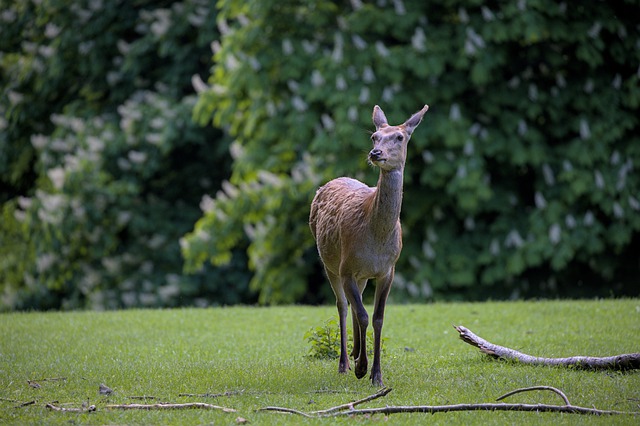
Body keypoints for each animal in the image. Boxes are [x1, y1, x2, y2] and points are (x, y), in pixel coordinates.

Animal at [309, 104, 429, 386]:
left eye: (400, 137)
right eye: (374, 137)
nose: (376, 153)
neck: (376, 241)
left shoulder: (388, 270)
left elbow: (377, 318)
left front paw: (376, 375)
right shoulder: (346, 267)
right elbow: (363, 315)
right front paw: (362, 368)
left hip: (361, 274)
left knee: (356, 304)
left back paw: (354, 353)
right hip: (330, 263)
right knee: (343, 306)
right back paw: (345, 362)